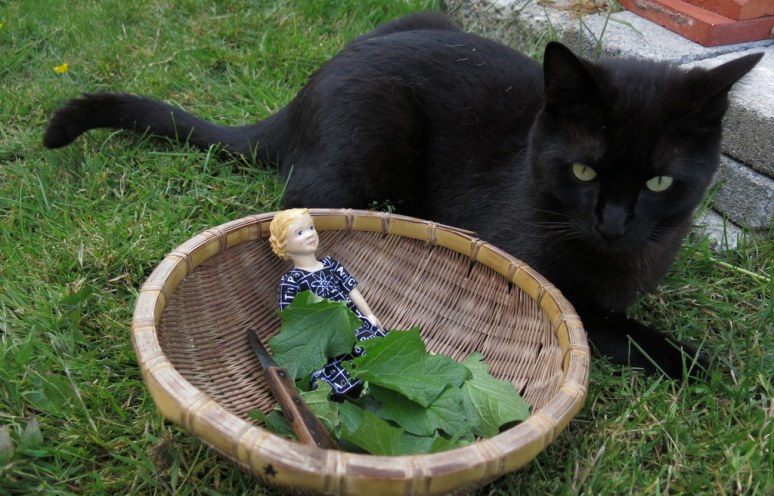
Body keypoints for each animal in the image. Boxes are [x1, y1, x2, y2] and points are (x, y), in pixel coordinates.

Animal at [43, 12, 762, 380]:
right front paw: (699, 363)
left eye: (660, 182)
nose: (613, 222)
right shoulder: (534, 269)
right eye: (584, 172)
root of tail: (308, 90)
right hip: (361, 148)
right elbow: (610, 326)